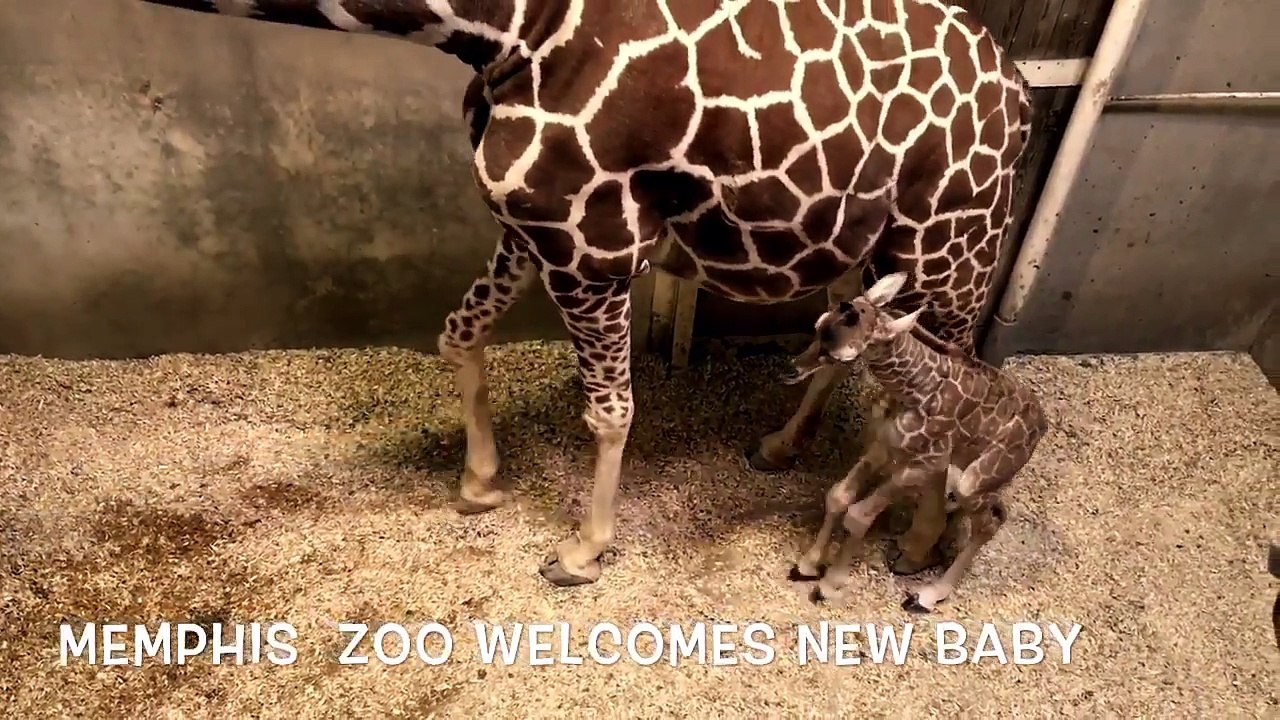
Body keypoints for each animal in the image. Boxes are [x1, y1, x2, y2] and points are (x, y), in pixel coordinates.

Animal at [137, 0, 1033, 587]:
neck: (505, 28)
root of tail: (1022, 91)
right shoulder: (527, 225)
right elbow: (457, 333)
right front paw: (479, 481)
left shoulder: (593, 244)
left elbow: (609, 411)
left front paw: (581, 550)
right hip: (861, 240)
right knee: (863, 338)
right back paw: (783, 447)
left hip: (954, 238)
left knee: (957, 370)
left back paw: (918, 546)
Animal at [783, 271, 1047, 611]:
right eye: (818, 325)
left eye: (841, 354)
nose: (792, 369)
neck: (912, 388)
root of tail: (1040, 426)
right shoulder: (884, 445)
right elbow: (838, 497)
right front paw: (807, 565)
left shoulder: (923, 464)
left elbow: (858, 515)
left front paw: (828, 585)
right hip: (956, 467)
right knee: (979, 510)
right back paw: (910, 556)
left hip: (972, 480)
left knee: (989, 522)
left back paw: (926, 595)